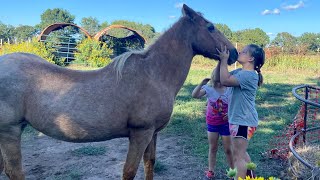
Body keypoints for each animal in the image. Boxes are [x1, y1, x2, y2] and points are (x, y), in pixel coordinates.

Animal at [0, 3, 238, 180]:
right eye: (210, 27)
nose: (234, 53)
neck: (154, 74)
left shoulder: (153, 133)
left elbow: (150, 164)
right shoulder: (140, 134)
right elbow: (129, 171)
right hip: (10, 131)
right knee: (14, 171)